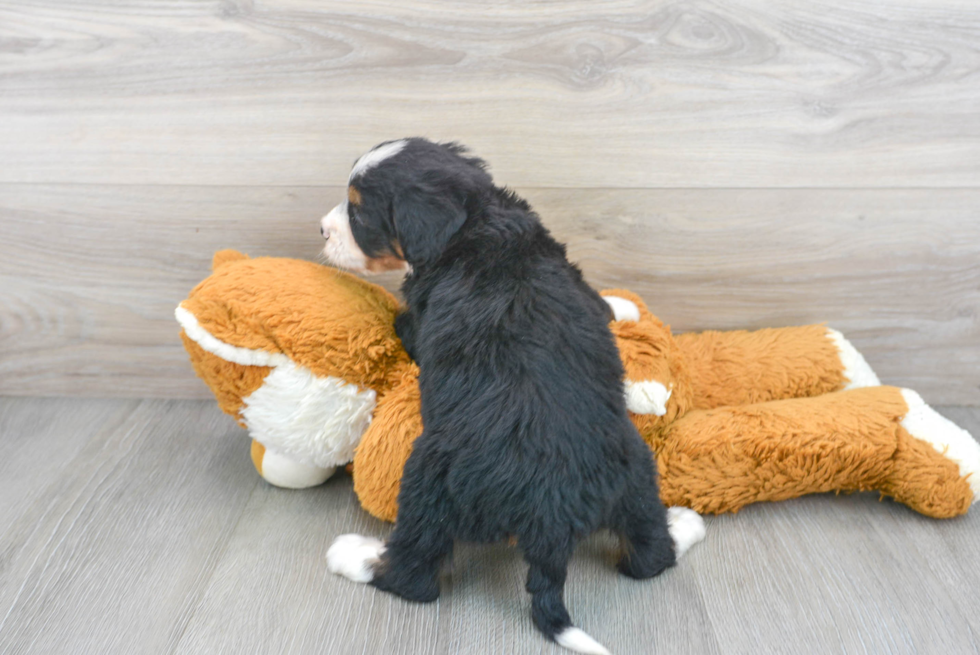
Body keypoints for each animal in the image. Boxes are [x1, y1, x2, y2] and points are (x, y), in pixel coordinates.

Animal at [322, 138, 704, 655]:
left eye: (359, 214)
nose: (322, 230)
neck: (478, 221)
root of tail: (551, 517)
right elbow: (599, 303)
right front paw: (622, 307)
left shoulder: (417, 321)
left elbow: (400, 321)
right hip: (636, 469)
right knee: (648, 556)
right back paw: (682, 526)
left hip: (427, 477)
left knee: (414, 572)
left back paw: (354, 554)